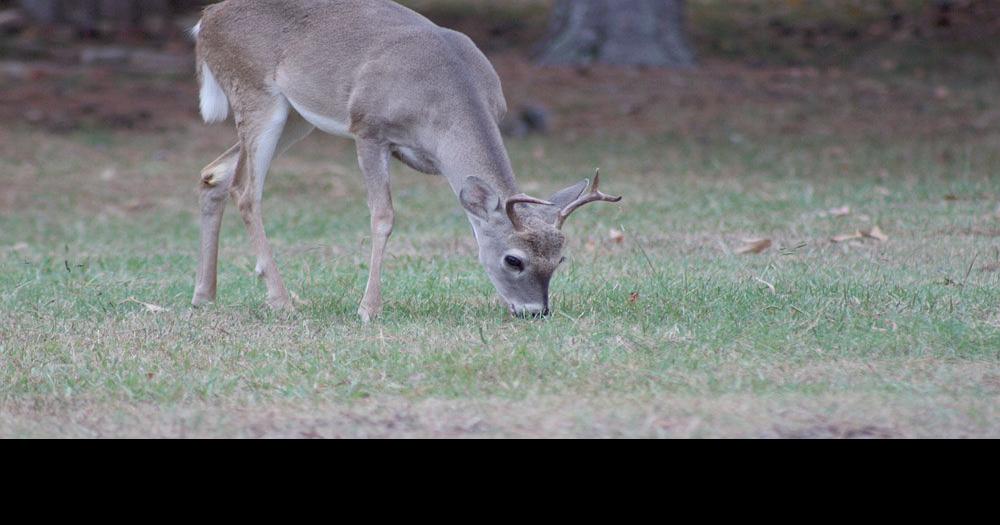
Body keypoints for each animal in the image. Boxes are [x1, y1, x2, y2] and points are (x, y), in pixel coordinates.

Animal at [190, 0, 622, 322]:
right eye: (513, 260)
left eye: (559, 259)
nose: (536, 312)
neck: (442, 96)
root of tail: (205, 20)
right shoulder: (368, 129)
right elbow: (383, 216)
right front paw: (368, 309)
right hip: (255, 92)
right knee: (246, 189)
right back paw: (281, 300)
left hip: (297, 117)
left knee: (215, 174)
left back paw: (204, 295)